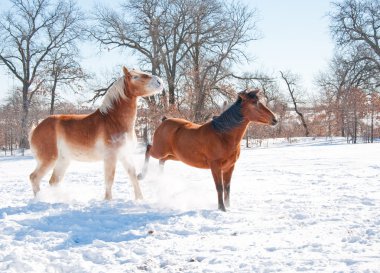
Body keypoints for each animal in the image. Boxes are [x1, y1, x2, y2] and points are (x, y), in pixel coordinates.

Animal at [27, 66, 162, 200]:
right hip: (49, 159)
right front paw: (108, 200)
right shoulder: (110, 157)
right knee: (34, 177)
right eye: (135, 76)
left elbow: (133, 177)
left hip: (63, 160)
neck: (113, 121)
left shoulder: (125, 155)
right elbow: (109, 180)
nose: (160, 81)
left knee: (53, 181)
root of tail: (35, 130)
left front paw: (140, 199)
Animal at [138, 89, 278, 210]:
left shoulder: (229, 166)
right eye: (254, 103)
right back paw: (141, 175)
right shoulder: (215, 166)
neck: (223, 135)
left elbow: (227, 188)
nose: (275, 119)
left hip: (174, 156)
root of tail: (164, 120)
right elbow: (219, 187)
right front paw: (222, 208)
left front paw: (228, 207)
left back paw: (160, 179)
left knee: (162, 161)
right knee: (149, 149)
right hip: (160, 150)